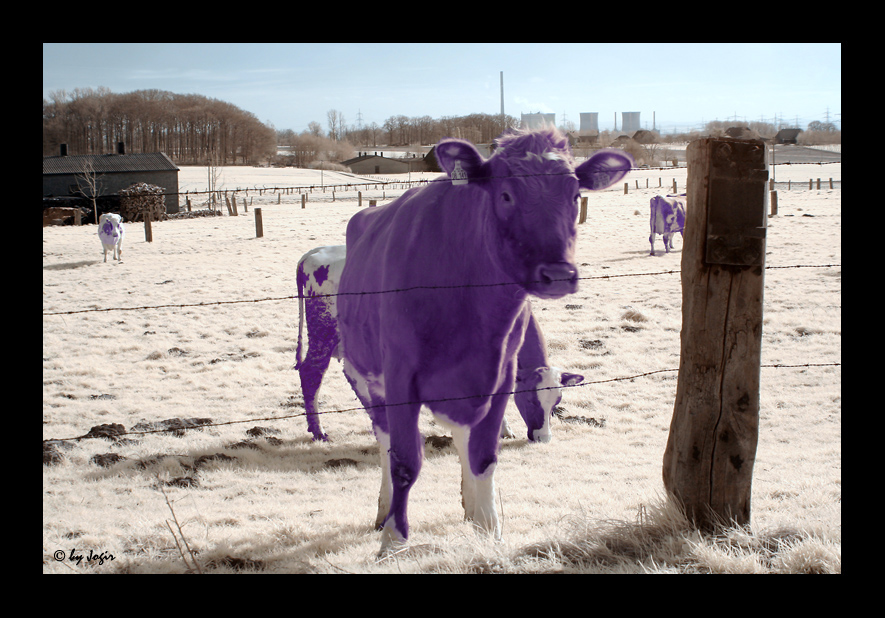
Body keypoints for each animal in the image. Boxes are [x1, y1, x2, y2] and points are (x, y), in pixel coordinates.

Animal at [292, 245, 580, 442]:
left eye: (556, 403)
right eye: (530, 399)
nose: (543, 438)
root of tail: (315, 253)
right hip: (324, 332)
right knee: (312, 373)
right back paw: (319, 431)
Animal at [334, 126, 632, 548]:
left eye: (576, 195)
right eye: (505, 195)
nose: (558, 274)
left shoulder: (498, 376)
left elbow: (484, 456)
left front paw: (489, 529)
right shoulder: (400, 378)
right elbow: (405, 461)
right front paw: (394, 539)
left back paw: (469, 508)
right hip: (362, 376)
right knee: (384, 440)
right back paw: (383, 511)